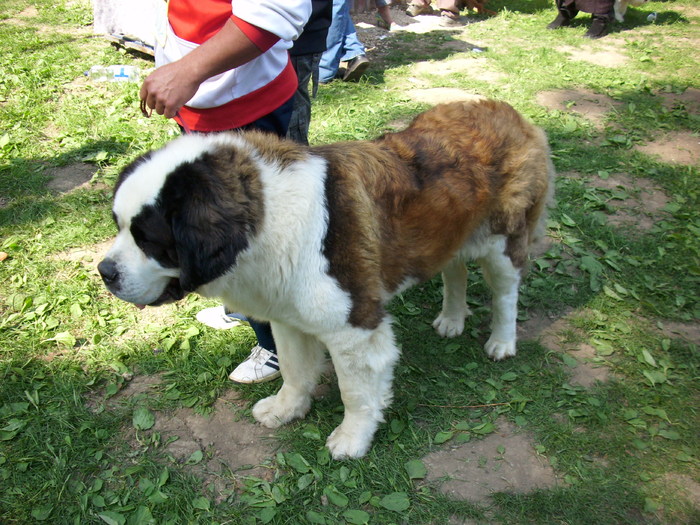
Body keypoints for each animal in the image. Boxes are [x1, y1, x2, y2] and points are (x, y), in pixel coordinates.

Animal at [100, 99, 552, 458]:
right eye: (119, 225)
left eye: (148, 239)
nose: (105, 272)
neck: (266, 220)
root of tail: (508, 111)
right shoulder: (286, 314)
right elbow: (294, 369)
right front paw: (286, 409)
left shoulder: (354, 329)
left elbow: (356, 391)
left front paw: (353, 439)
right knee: (454, 270)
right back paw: (452, 319)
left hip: (503, 241)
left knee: (506, 293)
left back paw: (502, 341)